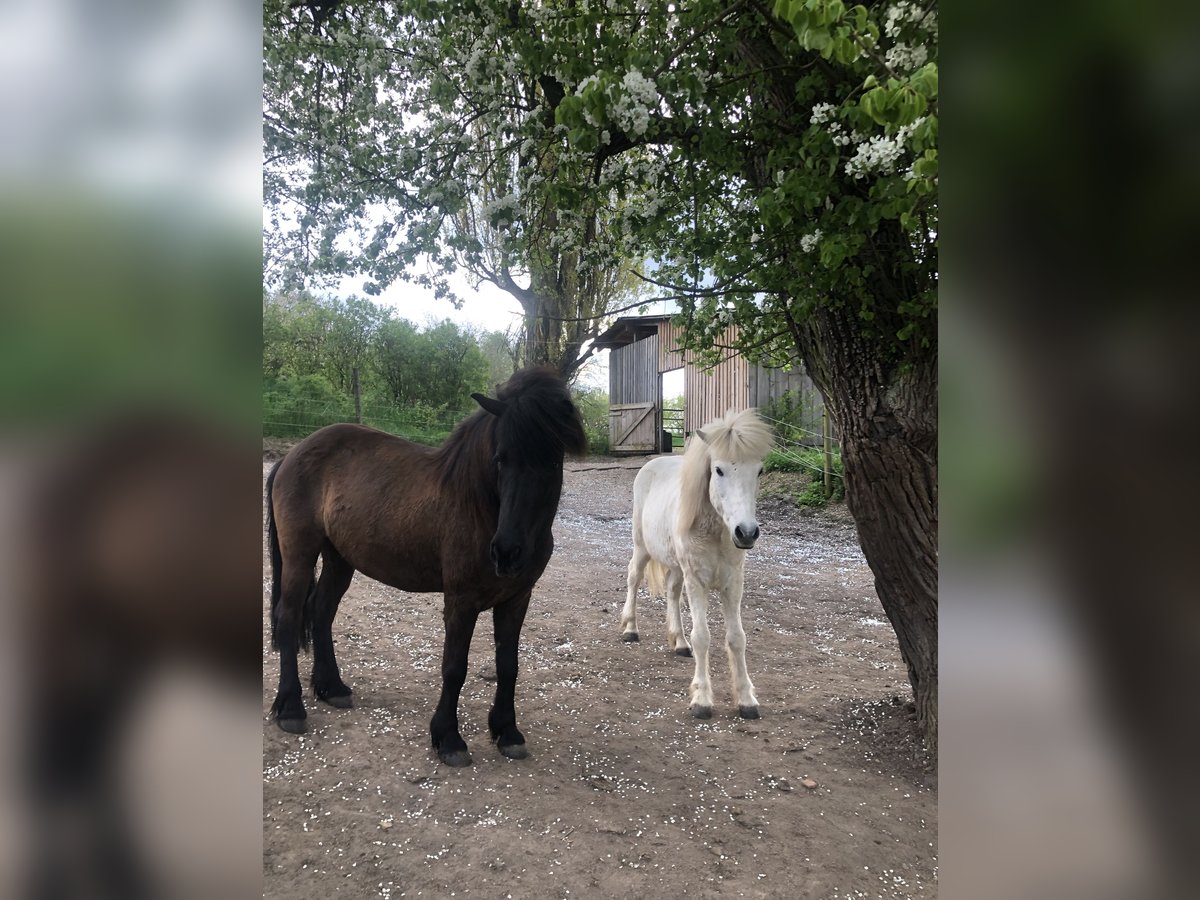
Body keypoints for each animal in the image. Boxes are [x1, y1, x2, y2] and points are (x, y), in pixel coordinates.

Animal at [266, 367, 585, 768]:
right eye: (500, 459)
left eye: (552, 461)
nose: (507, 553)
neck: (481, 506)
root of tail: (291, 454)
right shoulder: (461, 601)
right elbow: (454, 667)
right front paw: (448, 738)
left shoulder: (516, 599)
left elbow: (508, 665)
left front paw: (507, 732)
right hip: (299, 554)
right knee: (290, 617)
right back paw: (291, 708)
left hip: (340, 559)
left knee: (320, 611)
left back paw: (332, 688)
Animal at [624, 408, 772, 720]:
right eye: (718, 470)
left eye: (759, 471)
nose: (746, 532)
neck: (716, 532)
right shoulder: (697, 582)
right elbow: (703, 636)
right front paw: (702, 700)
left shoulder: (733, 585)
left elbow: (737, 638)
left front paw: (746, 699)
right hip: (642, 548)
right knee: (633, 577)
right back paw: (630, 629)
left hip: (677, 566)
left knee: (671, 591)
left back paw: (679, 643)